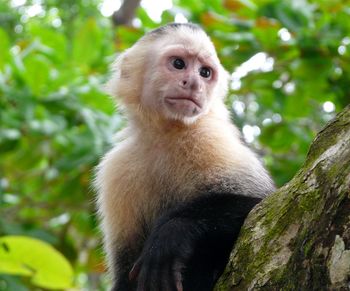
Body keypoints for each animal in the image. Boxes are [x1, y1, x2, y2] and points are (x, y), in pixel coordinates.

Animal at [95, 23, 274, 291]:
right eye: (178, 64)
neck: (166, 135)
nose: (194, 84)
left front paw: (172, 233)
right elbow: (125, 272)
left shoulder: (209, 137)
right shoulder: (116, 169)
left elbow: (259, 203)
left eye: (205, 72)